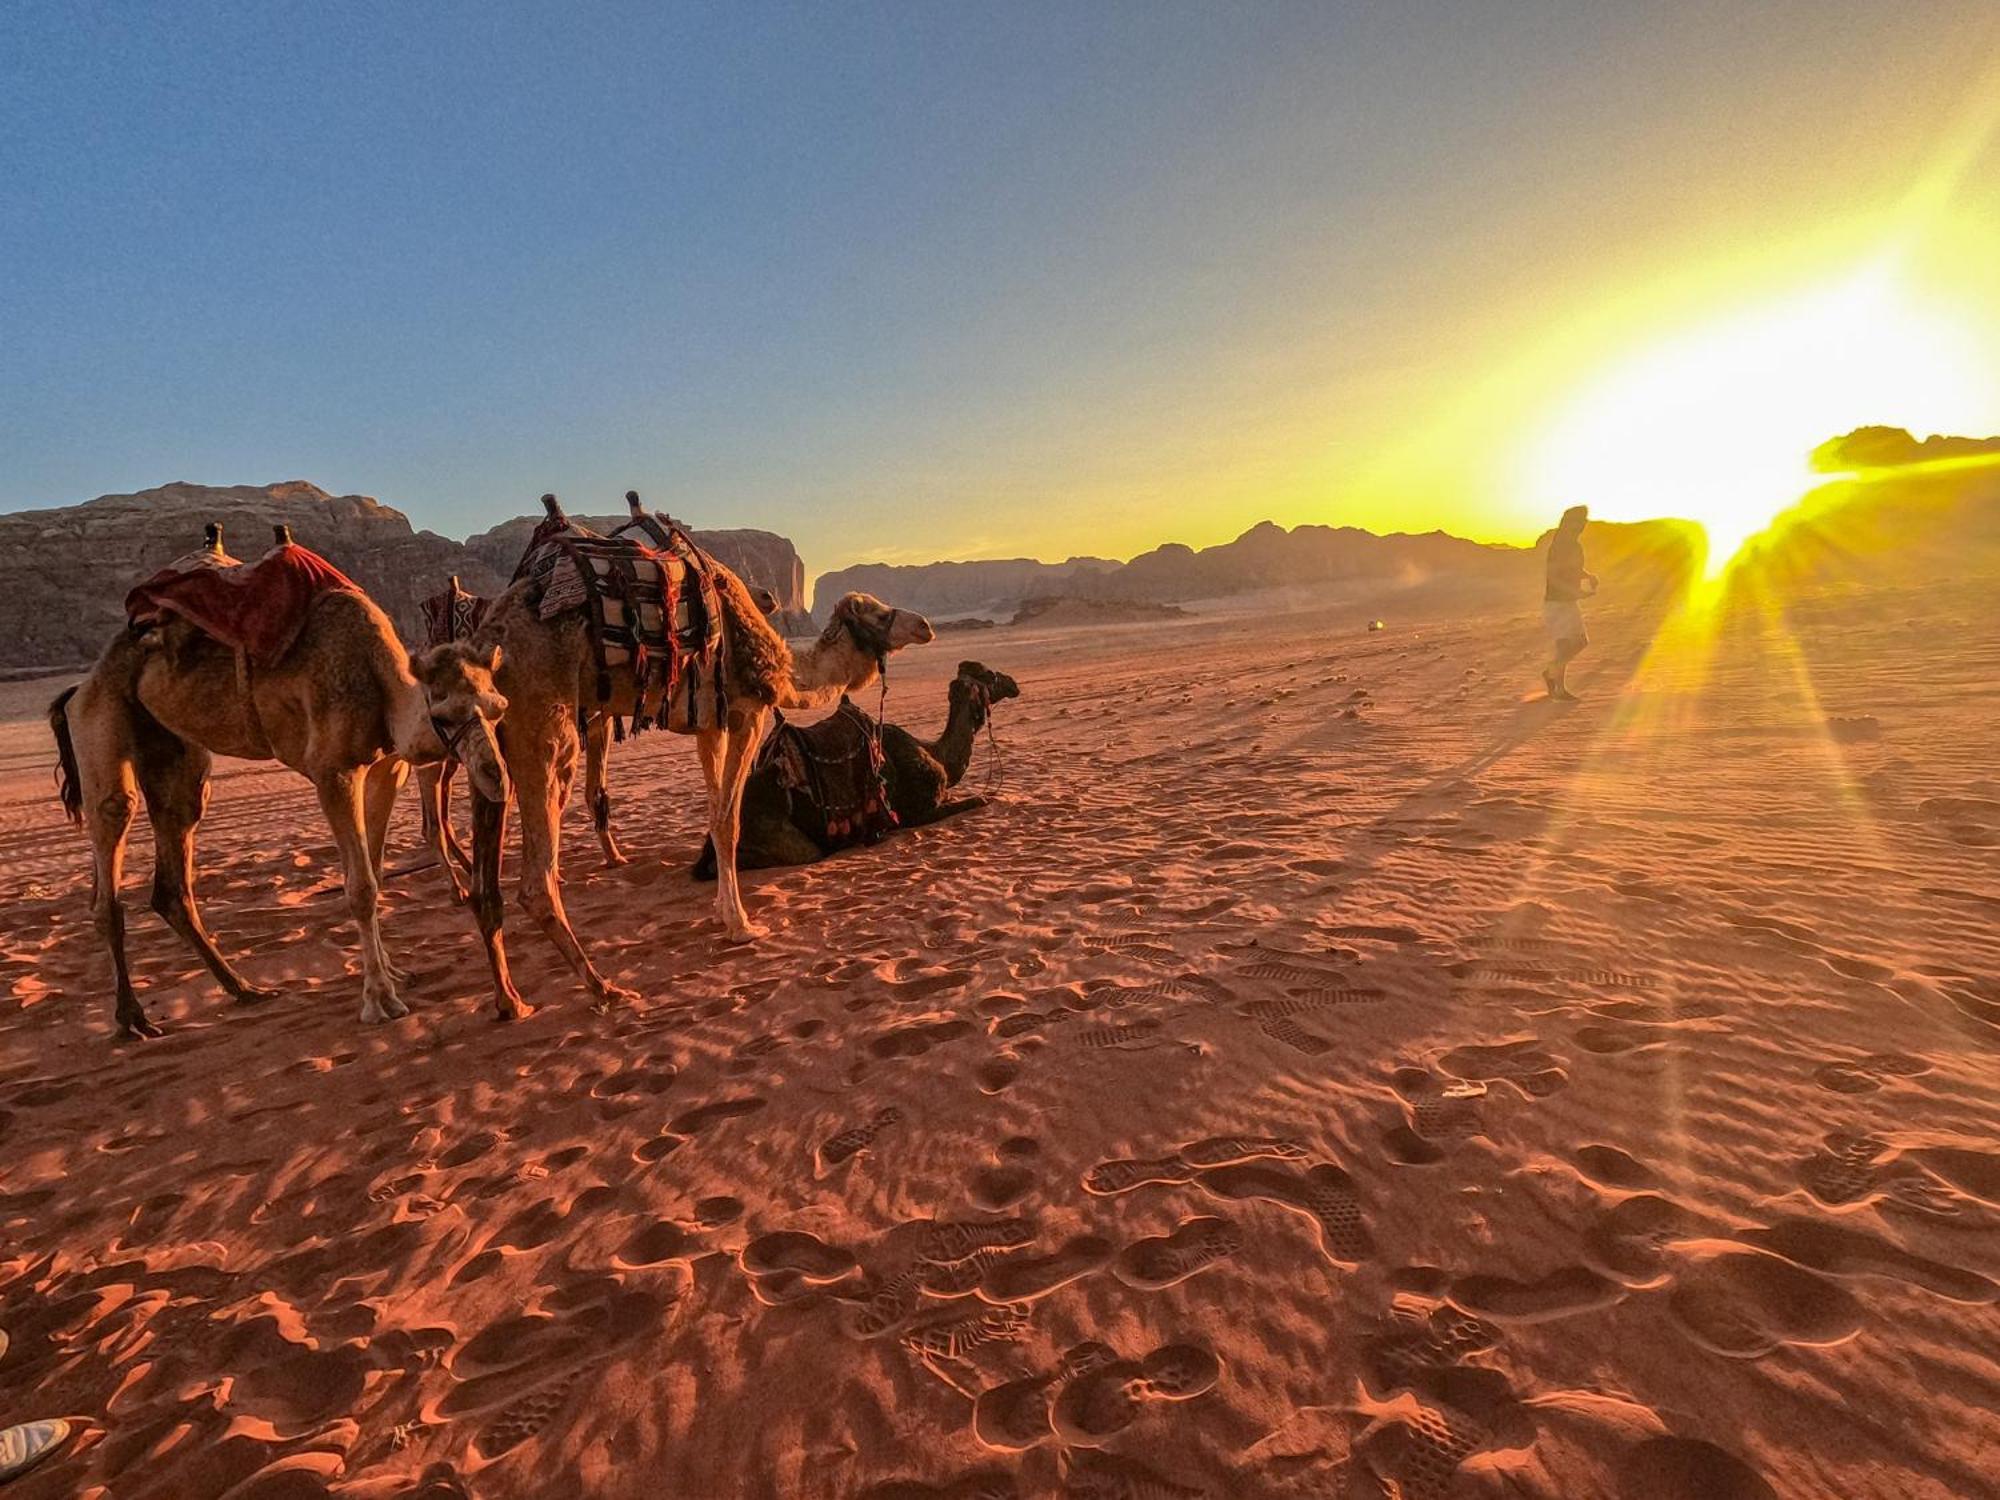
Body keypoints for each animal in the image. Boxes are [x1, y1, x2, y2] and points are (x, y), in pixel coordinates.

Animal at [50, 532, 508, 1048]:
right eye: (444, 715)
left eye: (498, 707)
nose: (494, 774)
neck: (377, 676)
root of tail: (78, 688)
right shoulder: (333, 772)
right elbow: (361, 886)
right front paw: (380, 1000)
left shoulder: (384, 767)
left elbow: (373, 869)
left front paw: (396, 973)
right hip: (100, 719)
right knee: (112, 829)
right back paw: (131, 1019)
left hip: (174, 750)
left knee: (174, 859)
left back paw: (244, 989)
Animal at [418, 502, 932, 1024]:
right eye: (881, 612)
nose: (925, 625)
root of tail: (486, 642)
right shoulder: (746, 712)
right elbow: (728, 821)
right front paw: (741, 924)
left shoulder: (710, 725)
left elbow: (714, 814)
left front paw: (723, 911)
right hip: (544, 726)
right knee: (535, 882)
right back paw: (605, 989)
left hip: (490, 742)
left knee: (486, 885)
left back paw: (510, 1000)